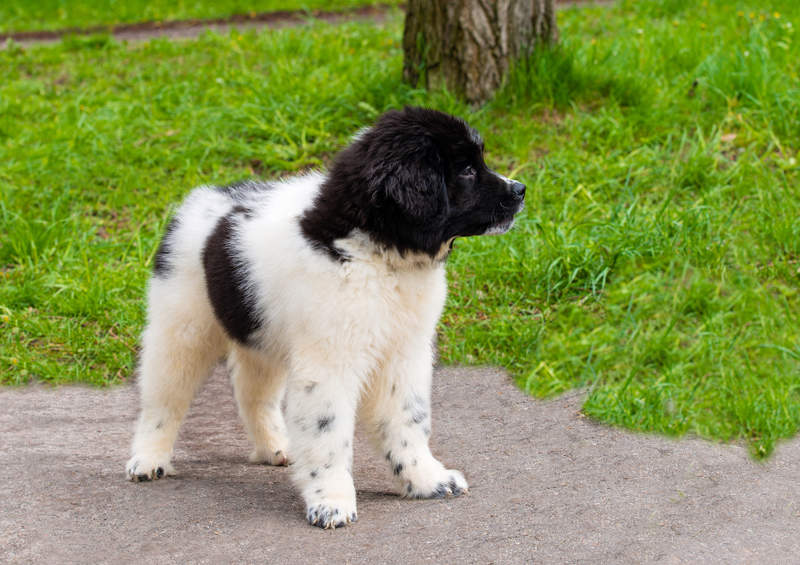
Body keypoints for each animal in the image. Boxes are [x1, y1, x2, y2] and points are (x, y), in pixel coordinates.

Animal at [125, 107, 524, 528]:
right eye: (466, 170)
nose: (521, 190)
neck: (377, 253)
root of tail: (201, 198)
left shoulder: (403, 353)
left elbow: (408, 420)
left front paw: (426, 479)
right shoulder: (330, 361)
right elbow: (328, 433)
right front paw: (331, 501)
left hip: (260, 332)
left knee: (253, 394)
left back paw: (275, 447)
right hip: (181, 324)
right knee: (163, 397)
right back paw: (148, 459)